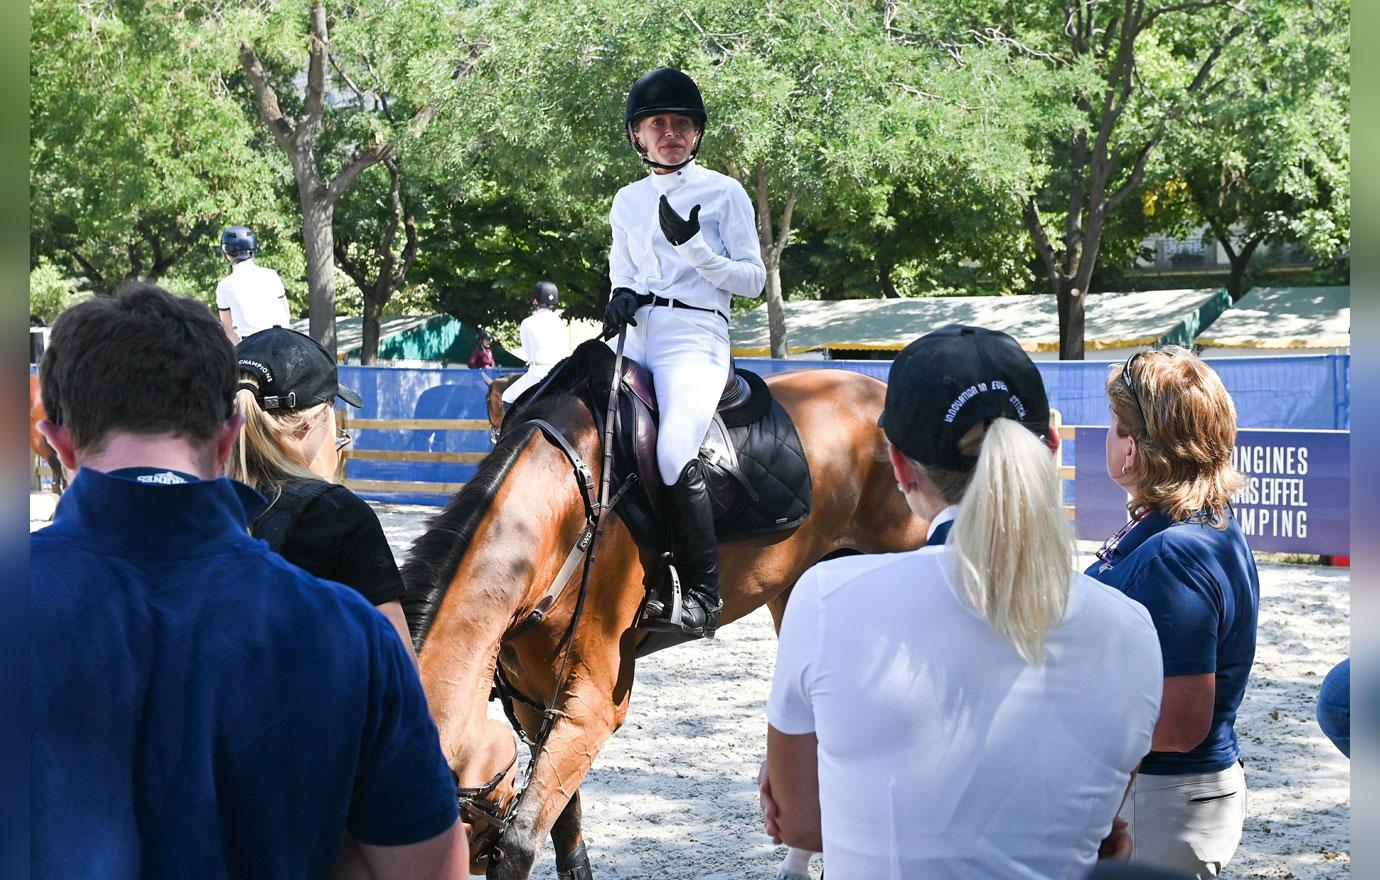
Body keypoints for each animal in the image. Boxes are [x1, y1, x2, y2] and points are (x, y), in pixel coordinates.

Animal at [402, 369, 927, 877]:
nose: (472, 856)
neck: (560, 518)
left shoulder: (592, 706)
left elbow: (520, 842)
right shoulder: (535, 700)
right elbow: (566, 833)